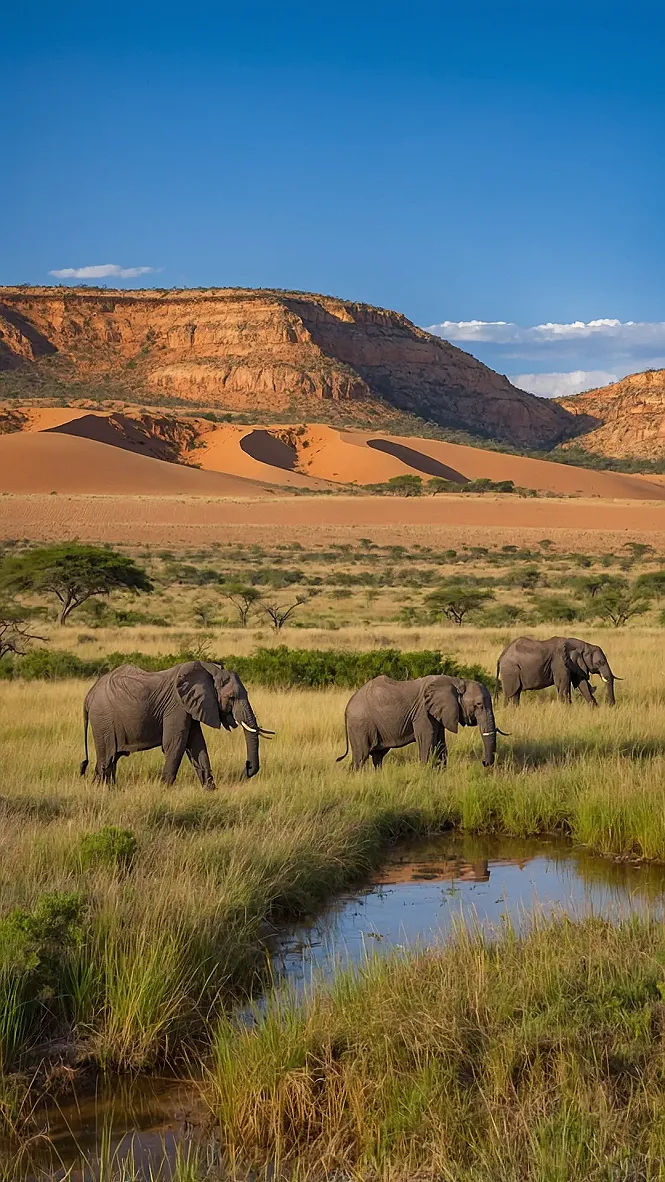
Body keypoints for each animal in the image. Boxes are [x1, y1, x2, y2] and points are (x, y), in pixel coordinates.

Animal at [80, 660, 274, 787]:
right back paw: (101, 789)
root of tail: (88, 697)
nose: (246, 767)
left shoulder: (192, 707)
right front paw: (163, 790)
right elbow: (176, 744)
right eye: (231, 697)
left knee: (110, 760)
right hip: (103, 720)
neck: (210, 670)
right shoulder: (178, 707)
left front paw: (210, 790)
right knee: (106, 759)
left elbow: (197, 745)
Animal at [336, 674, 505, 770]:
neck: (457, 681)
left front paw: (440, 773)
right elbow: (427, 740)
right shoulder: (422, 713)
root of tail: (346, 708)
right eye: (479, 705)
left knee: (378, 756)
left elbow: (440, 743)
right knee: (361, 756)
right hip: (360, 725)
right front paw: (426, 773)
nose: (484, 763)